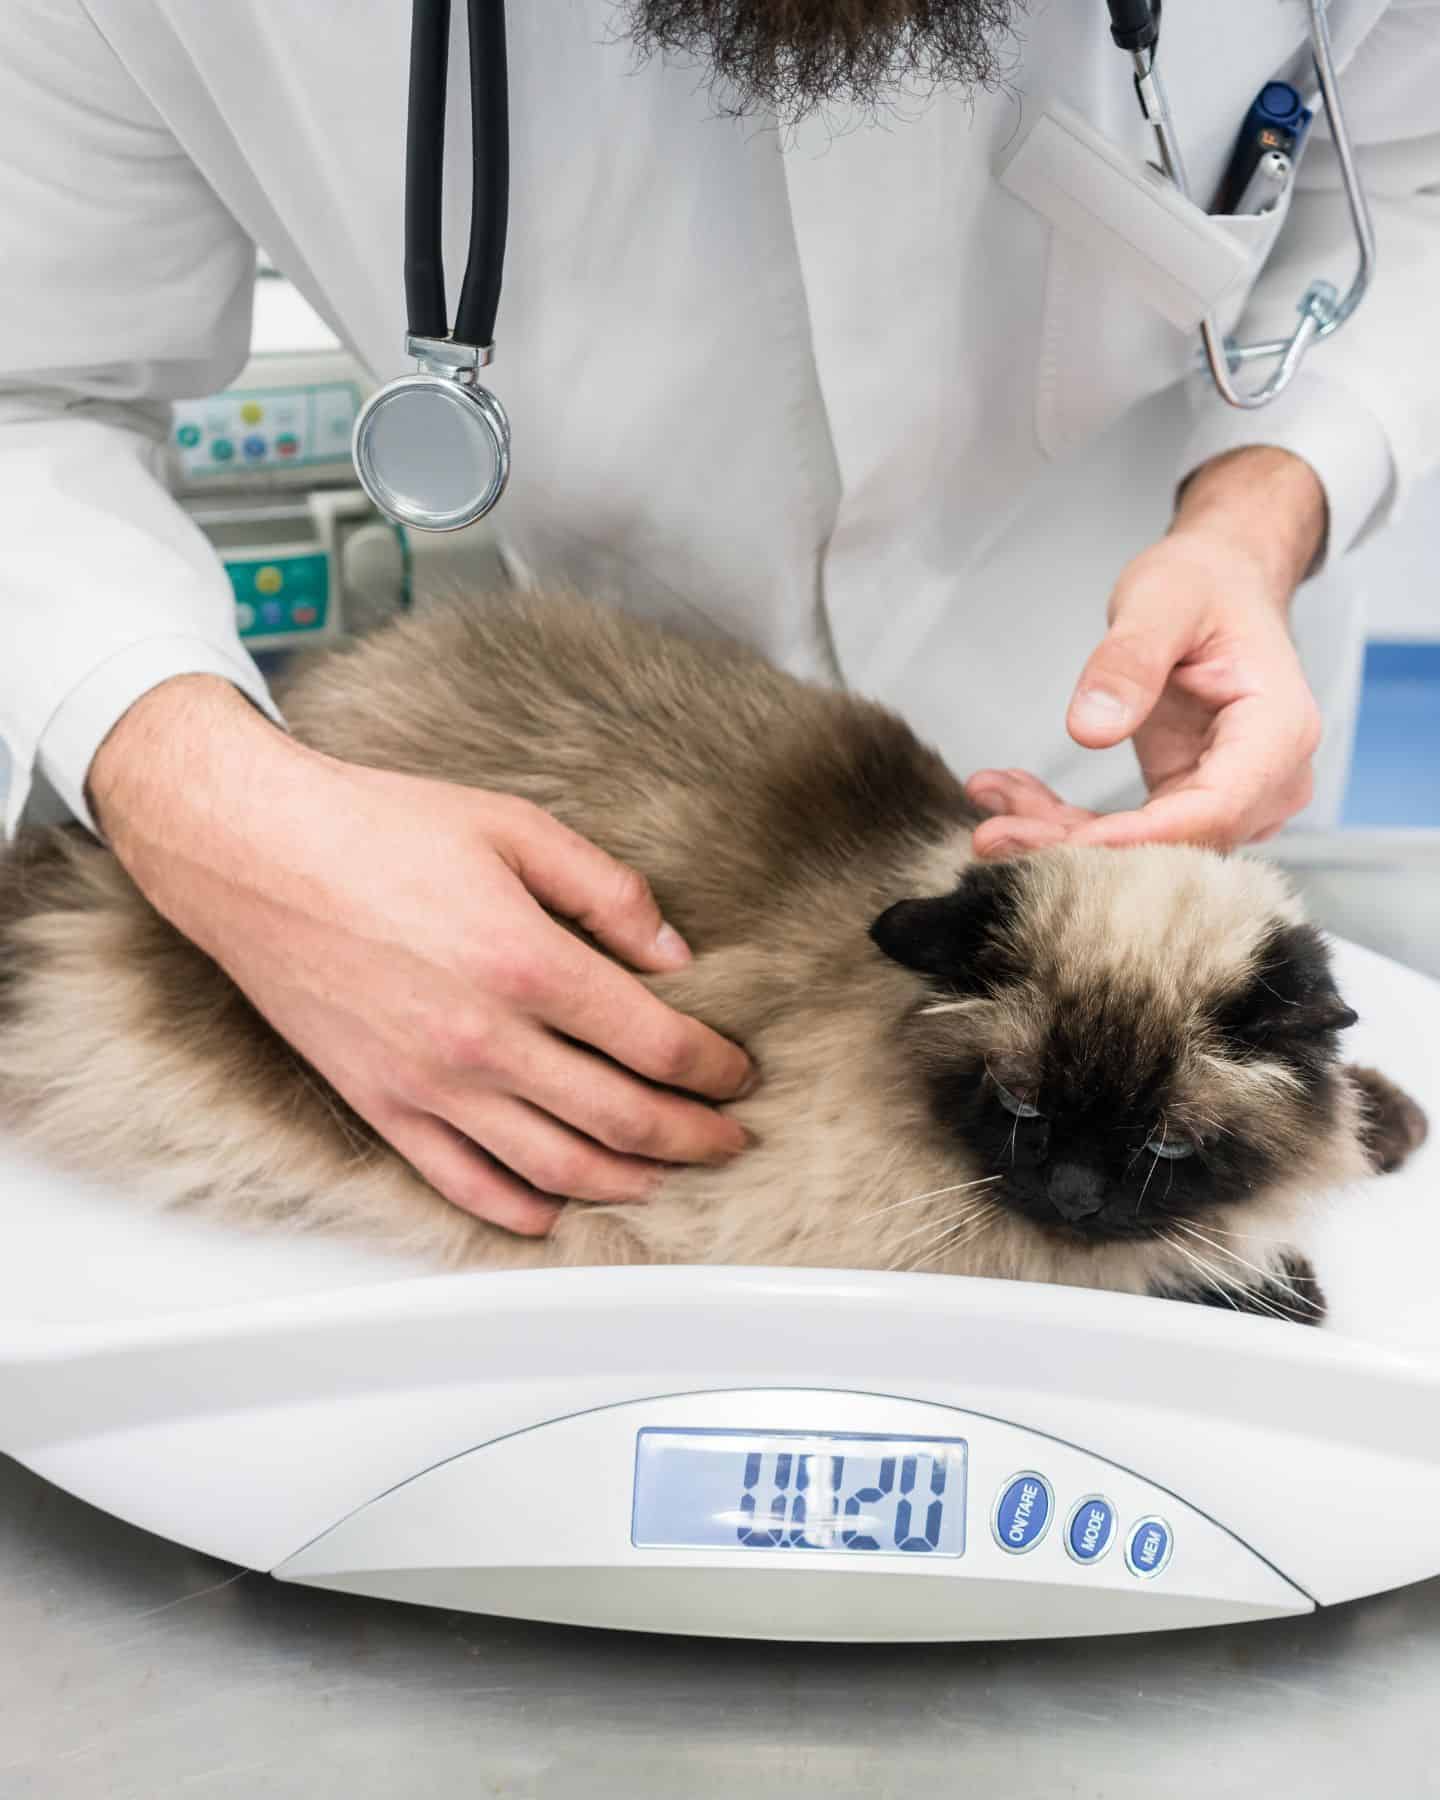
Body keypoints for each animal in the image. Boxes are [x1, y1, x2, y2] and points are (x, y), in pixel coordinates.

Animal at [0, 594, 1425, 1324]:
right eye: (1020, 1113)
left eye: (1165, 1145)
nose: (1076, 1194)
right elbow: (1181, 1271)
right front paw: (1289, 1286)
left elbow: (1352, 1103)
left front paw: (1386, 1131)